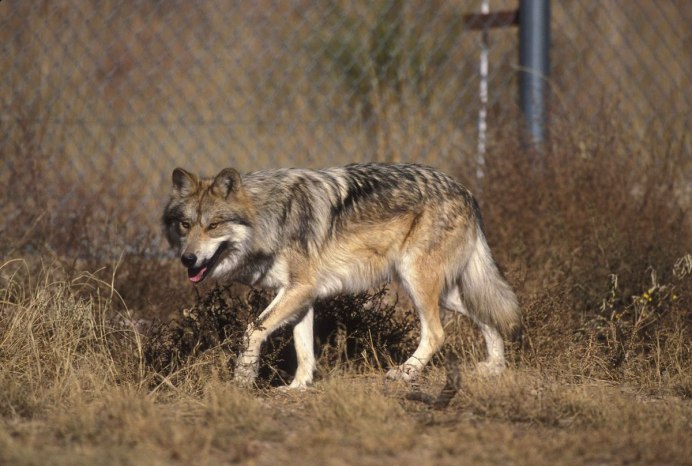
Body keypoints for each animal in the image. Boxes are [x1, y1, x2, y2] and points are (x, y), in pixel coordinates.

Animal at [162, 162, 520, 388]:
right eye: (185, 225)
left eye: (213, 226)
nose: (188, 259)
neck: (269, 218)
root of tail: (466, 191)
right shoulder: (301, 295)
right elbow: (304, 350)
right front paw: (297, 387)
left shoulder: (299, 289)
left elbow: (252, 330)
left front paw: (243, 378)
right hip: (444, 292)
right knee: (489, 314)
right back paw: (494, 368)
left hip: (416, 283)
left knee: (437, 333)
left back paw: (404, 373)